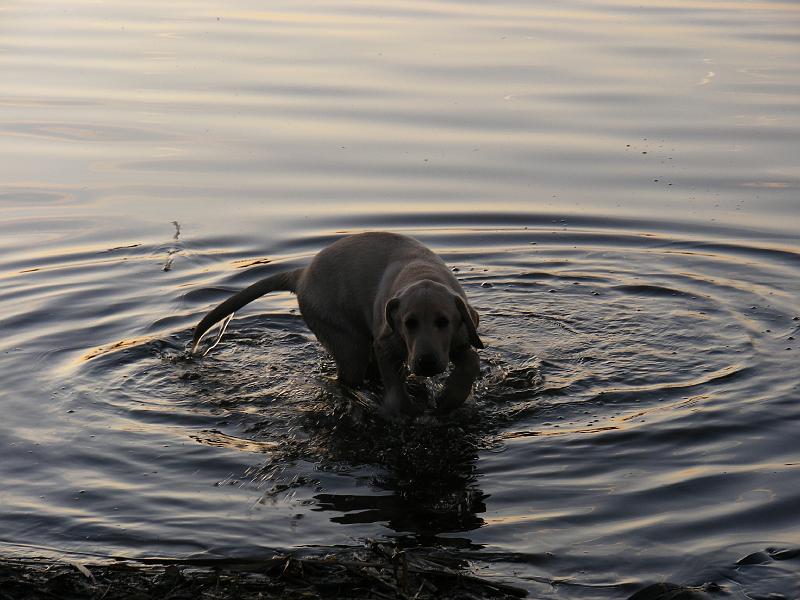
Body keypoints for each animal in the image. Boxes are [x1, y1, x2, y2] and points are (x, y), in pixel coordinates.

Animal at [191, 232, 483, 418]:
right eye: (409, 323)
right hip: (345, 340)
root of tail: (301, 275)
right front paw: (407, 411)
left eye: (443, 322)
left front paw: (449, 398)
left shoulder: (461, 336)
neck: (422, 274)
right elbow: (395, 388)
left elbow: (470, 361)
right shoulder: (386, 344)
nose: (426, 363)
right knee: (347, 377)